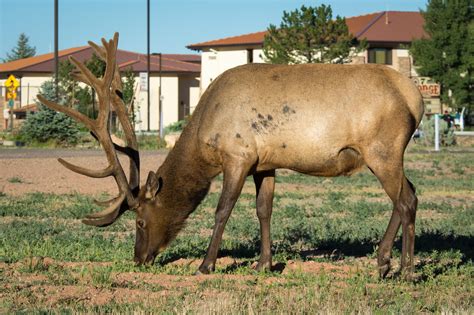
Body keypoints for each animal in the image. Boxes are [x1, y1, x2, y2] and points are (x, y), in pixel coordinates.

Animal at [37, 34, 422, 280]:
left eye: (140, 221)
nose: (139, 259)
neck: (204, 136)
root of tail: (415, 97)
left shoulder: (237, 155)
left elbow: (223, 209)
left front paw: (205, 265)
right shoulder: (265, 163)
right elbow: (263, 210)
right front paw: (264, 264)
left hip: (382, 149)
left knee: (405, 200)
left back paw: (400, 269)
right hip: (386, 154)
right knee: (411, 194)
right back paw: (391, 264)